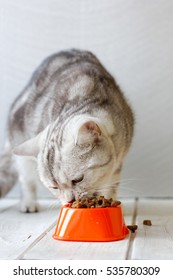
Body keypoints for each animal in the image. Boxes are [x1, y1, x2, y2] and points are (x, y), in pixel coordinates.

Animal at [0, 49, 134, 212]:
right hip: (21, 148)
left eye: (78, 180)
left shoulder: (116, 164)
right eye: (54, 187)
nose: (70, 200)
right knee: (26, 180)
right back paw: (28, 204)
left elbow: (110, 185)